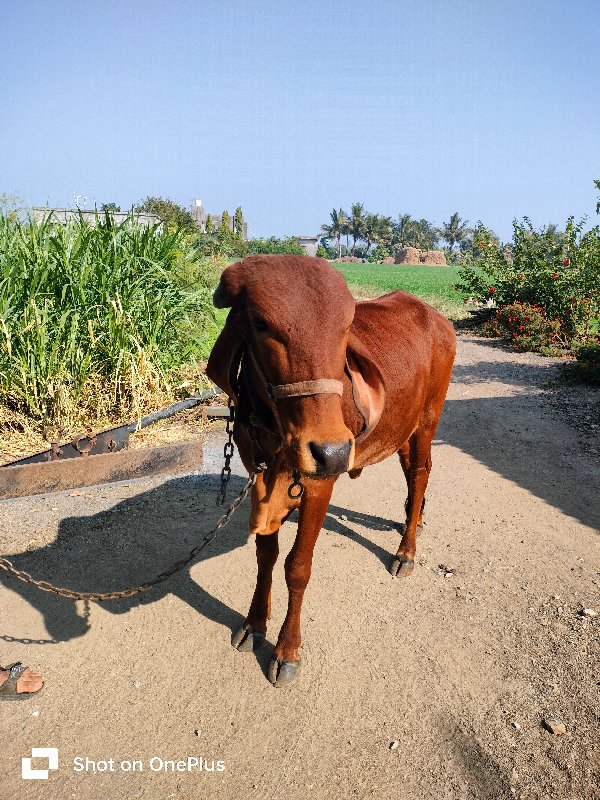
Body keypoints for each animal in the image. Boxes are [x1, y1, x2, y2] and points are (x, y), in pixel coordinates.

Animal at [206, 256, 454, 688]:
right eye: (261, 324)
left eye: (344, 328)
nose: (332, 451)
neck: (277, 432)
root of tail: (438, 319)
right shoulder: (259, 475)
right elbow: (266, 556)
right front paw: (254, 623)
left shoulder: (320, 485)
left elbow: (297, 567)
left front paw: (287, 650)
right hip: (404, 426)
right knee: (412, 471)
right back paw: (415, 517)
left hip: (428, 420)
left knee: (421, 470)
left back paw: (406, 550)